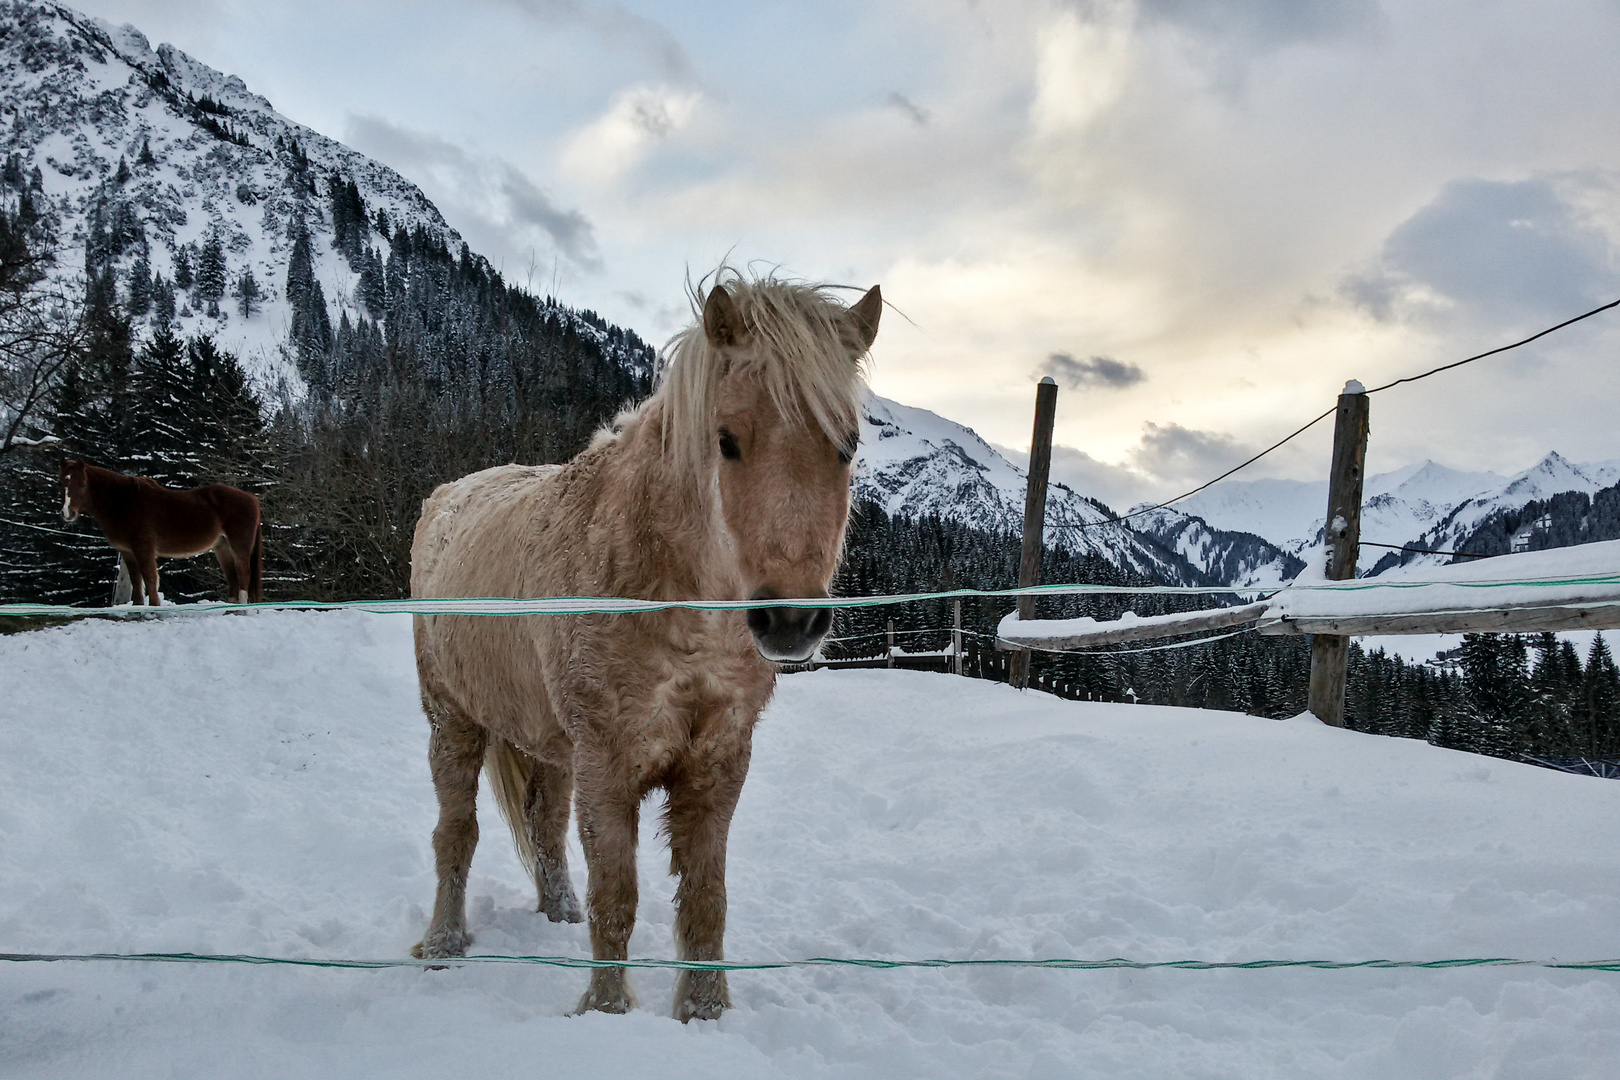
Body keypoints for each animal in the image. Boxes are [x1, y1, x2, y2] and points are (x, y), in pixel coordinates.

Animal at [59, 459, 262, 605]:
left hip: (239, 546)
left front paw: (153, 611)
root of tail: (252, 498)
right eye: (62, 483)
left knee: (244, 576)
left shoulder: (144, 549)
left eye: (82, 483)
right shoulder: (127, 552)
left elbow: (150, 580)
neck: (123, 503)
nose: (68, 513)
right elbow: (137, 583)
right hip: (222, 547)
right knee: (233, 578)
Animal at [411, 272, 881, 1023]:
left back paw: (557, 915)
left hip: (550, 745)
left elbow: (706, 900)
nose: (790, 620)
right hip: (452, 719)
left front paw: (705, 1012)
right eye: (726, 440)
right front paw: (606, 1012)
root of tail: (450, 497)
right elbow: (617, 897)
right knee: (456, 833)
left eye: (847, 444)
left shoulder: (718, 760)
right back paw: (443, 945)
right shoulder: (608, 762)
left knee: (544, 827)